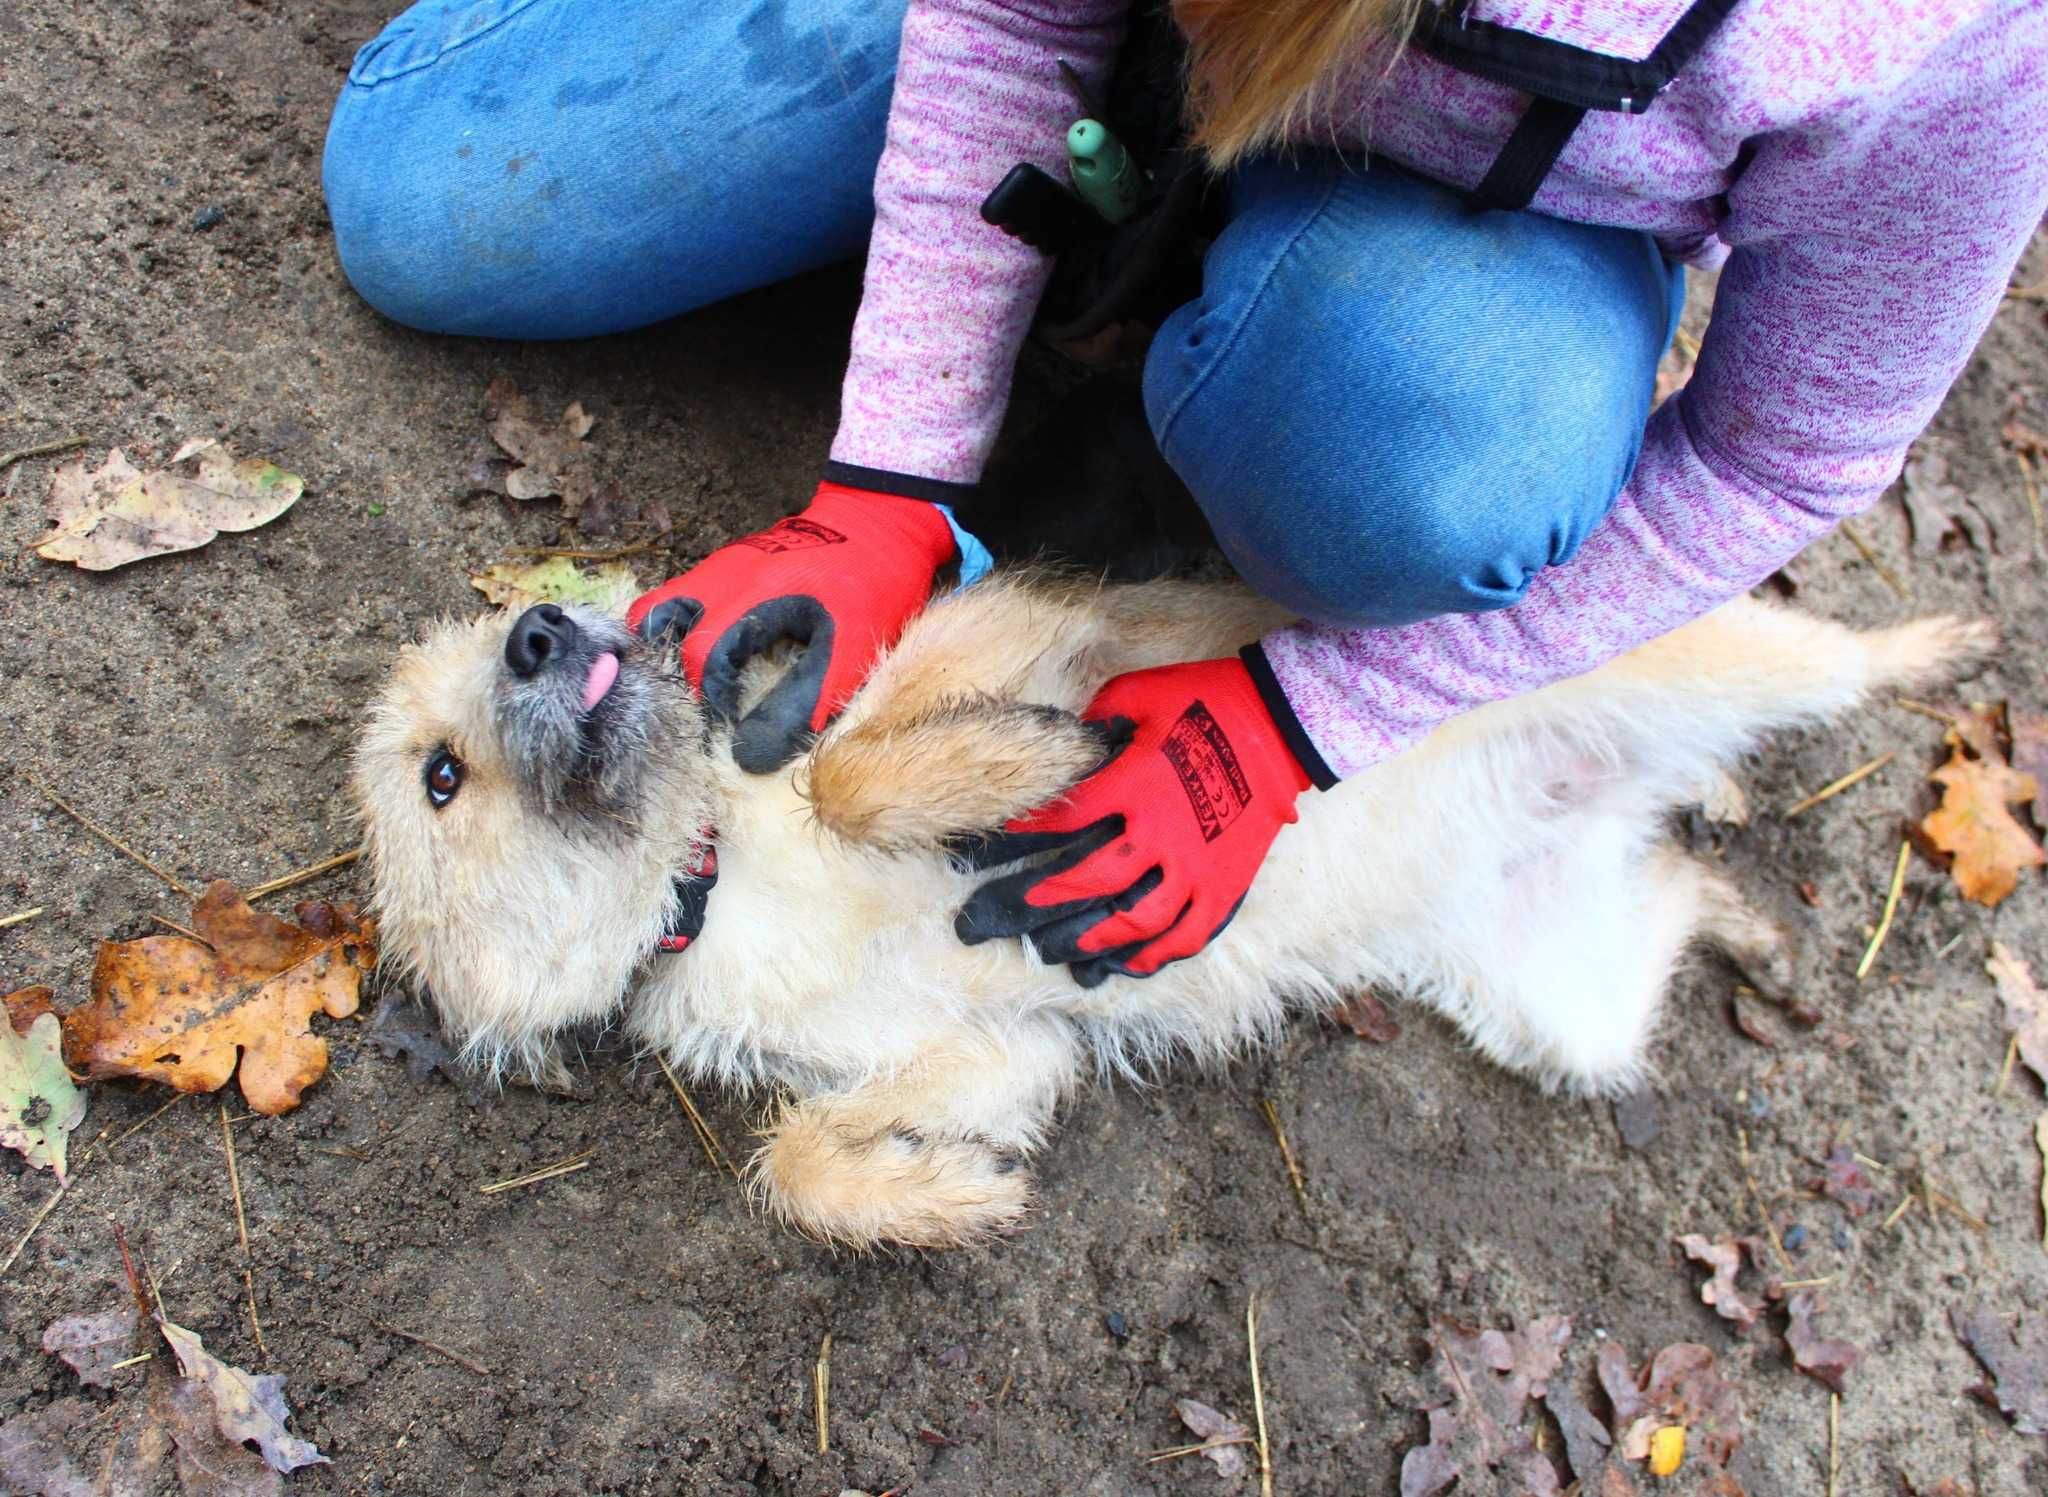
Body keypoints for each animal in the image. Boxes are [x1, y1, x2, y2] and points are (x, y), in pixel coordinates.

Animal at [348, 561, 1982, 1245]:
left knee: (1838, 655)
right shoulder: (994, 1054)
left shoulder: (1025, 635)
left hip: (1710, 661)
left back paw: (1944, 649)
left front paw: (1018, 762)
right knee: (1681, 892)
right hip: (1560, 1005)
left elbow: (861, 768)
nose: (540, 626)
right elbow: (799, 1155)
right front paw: (942, 1200)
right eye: (439, 777)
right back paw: (1758, 924)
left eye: (496, 642)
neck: (711, 874)